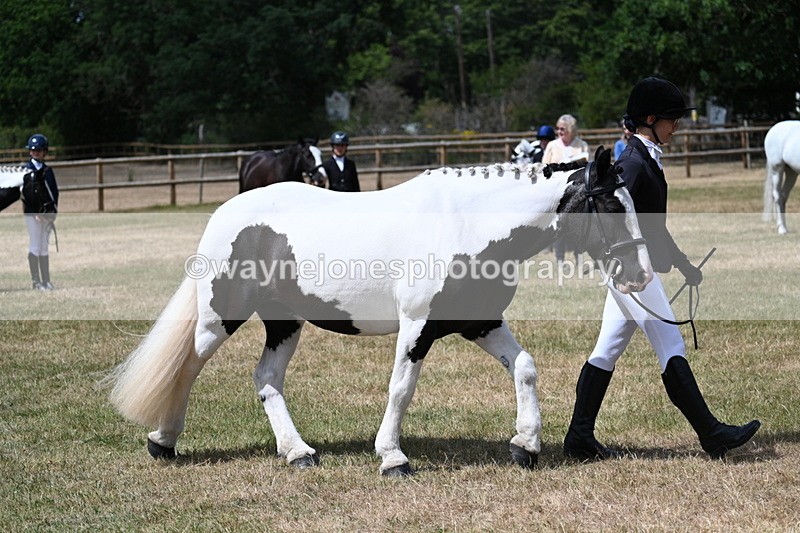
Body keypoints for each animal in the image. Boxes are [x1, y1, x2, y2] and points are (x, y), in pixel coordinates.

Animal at [106, 146, 652, 476]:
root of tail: (227, 212)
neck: (467, 225)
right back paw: (164, 441)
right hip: (220, 318)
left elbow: (524, 368)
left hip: (284, 322)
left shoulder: (479, 323)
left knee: (266, 379)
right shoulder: (417, 328)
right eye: (610, 204)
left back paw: (298, 452)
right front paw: (392, 458)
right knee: (186, 368)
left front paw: (527, 445)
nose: (642, 275)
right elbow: (401, 388)